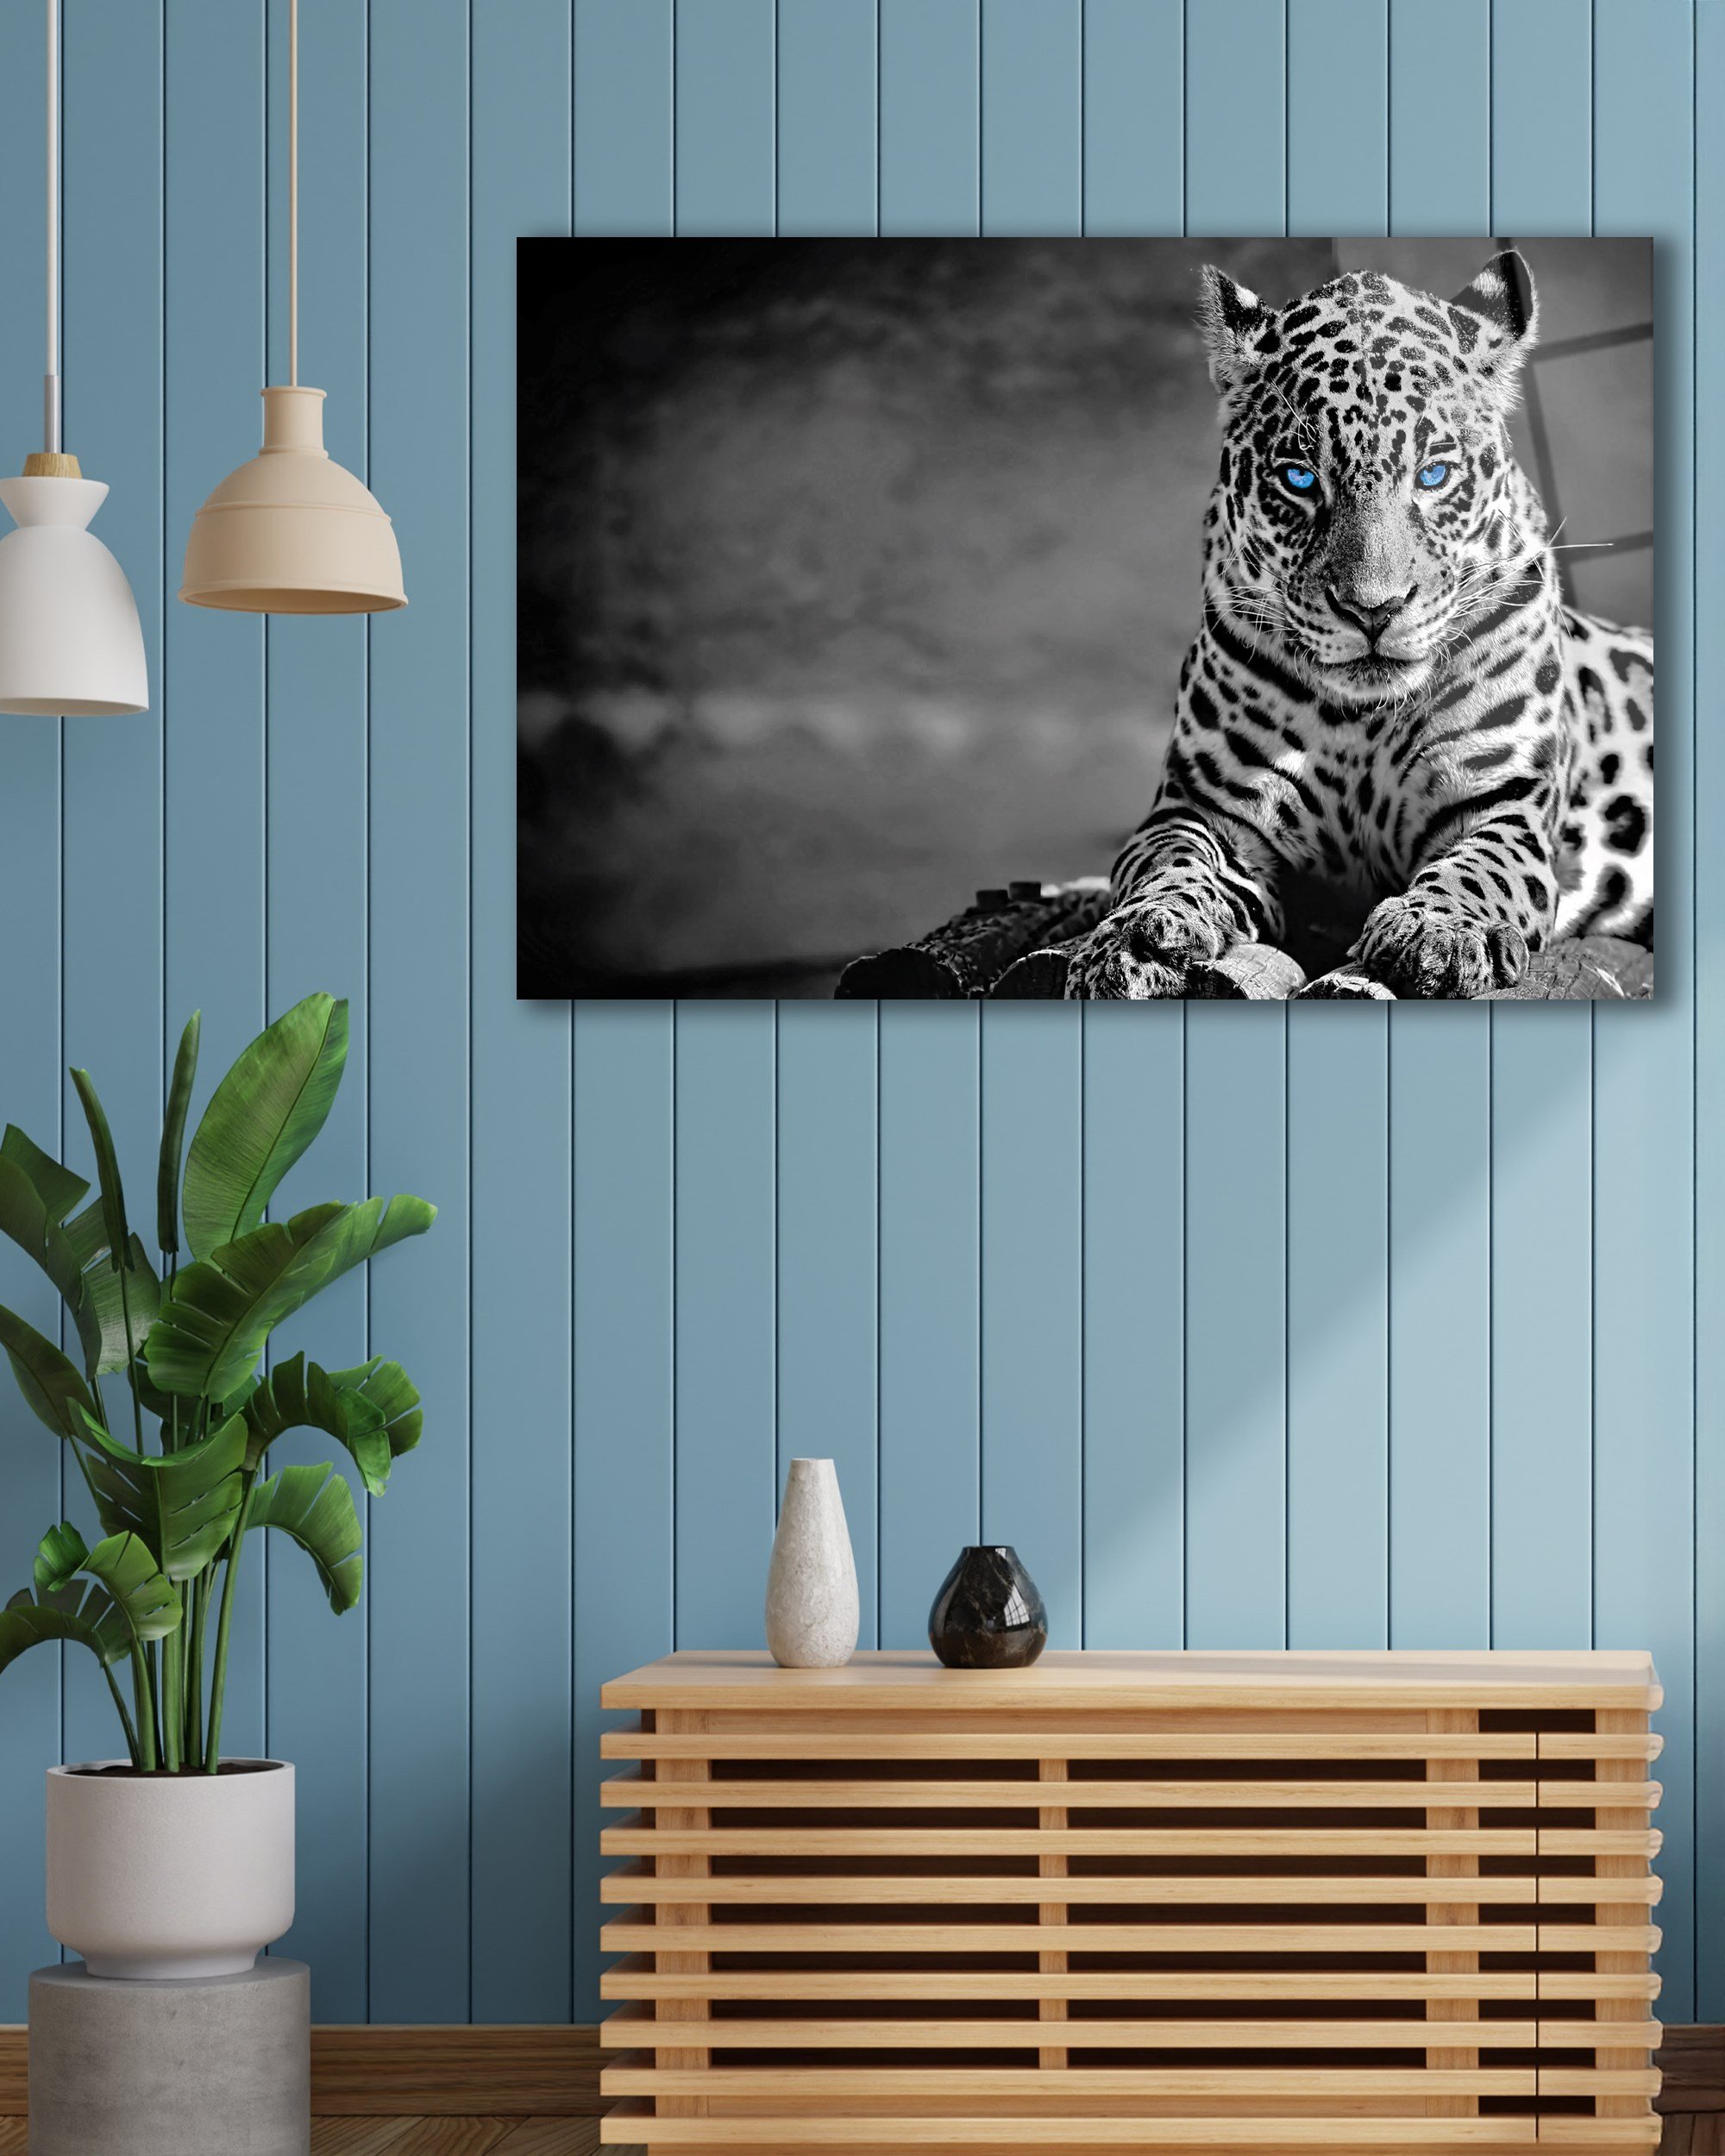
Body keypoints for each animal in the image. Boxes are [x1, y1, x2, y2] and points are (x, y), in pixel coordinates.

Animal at [1065, 250, 1654, 1000]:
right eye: (1299, 479)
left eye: (1434, 475)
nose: (1373, 608)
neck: (1362, 722)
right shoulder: (1202, 807)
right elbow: (1168, 861)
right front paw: (1138, 936)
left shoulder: (1504, 803)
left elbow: (1478, 868)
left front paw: (1436, 931)